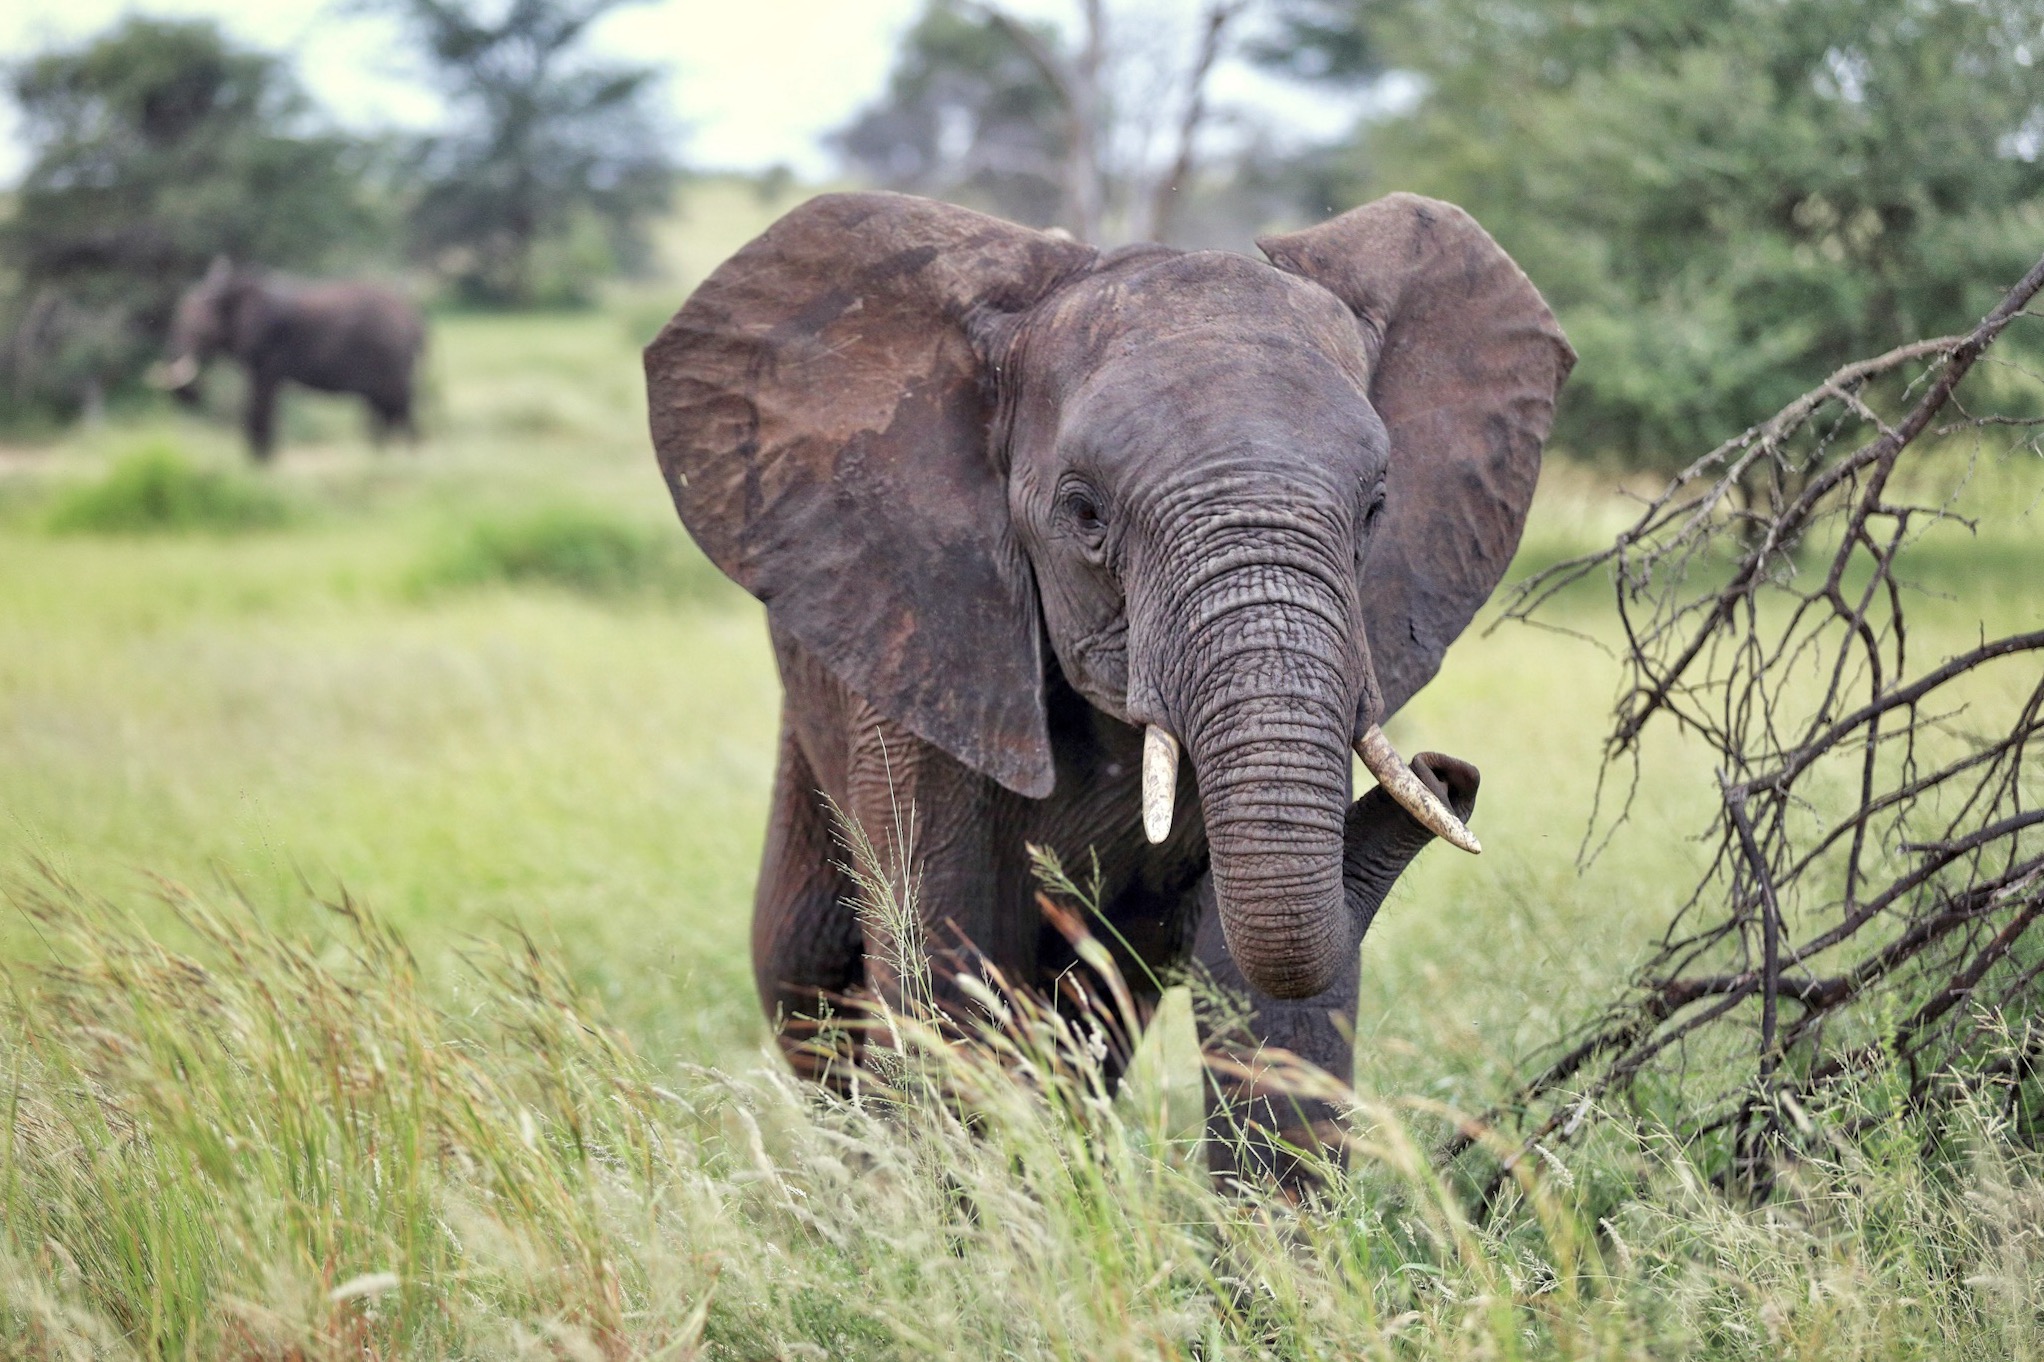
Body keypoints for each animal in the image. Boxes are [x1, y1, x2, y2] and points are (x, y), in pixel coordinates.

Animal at [151, 259, 425, 461]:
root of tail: (413, 319)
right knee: (384, 410)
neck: (236, 288)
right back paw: (381, 458)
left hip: (391, 358)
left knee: (401, 406)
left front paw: (260, 465)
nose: (194, 395)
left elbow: (260, 399)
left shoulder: (267, 345)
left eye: (195, 328)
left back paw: (410, 459)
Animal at [643, 191, 1572, 1184]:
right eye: (1085, 514)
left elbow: (1261, 987)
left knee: (1089, 1009)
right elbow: (943, 951)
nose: (1448, 775)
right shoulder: (930, 638)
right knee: (806, 965)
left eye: (1375, 511)